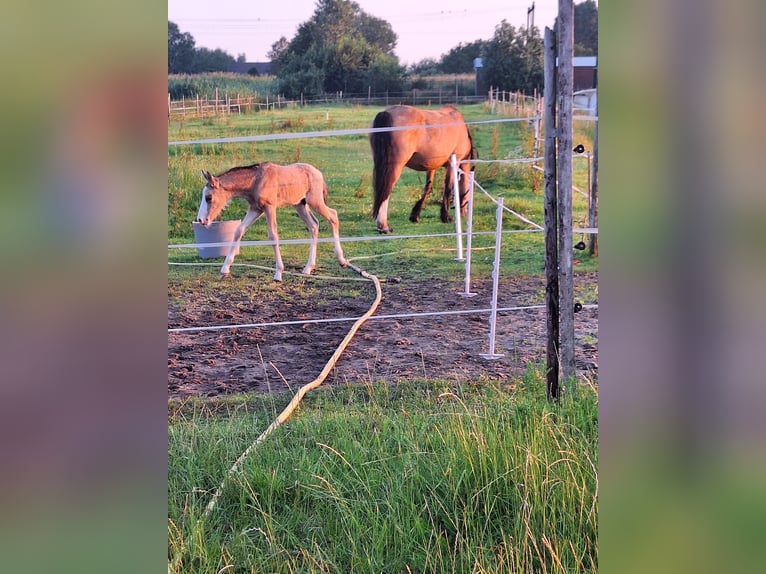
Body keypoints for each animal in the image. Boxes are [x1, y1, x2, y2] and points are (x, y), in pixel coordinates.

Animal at [200, 163, 352, 282]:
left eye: (209, 197)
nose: (201, 220)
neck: (255, 180)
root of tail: (318, 173)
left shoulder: (269, 207)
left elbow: (273, 236)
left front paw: (278, 274)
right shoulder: (255, 209)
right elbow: (239, 230)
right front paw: (225, 269)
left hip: (315, 201)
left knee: (333, 216)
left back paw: (341, 260)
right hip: (300, 205)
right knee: (314, 225)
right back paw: (308, 268)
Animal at [370, 104, 474, 233]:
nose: (464, 213)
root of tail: (386, 113)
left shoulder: (431, 166)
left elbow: (427, 188)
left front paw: (415, 215)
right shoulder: (452, 164)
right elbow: (448, 188)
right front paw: (446, 216)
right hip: (394, 167)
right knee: (386, 190)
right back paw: (383, 226)